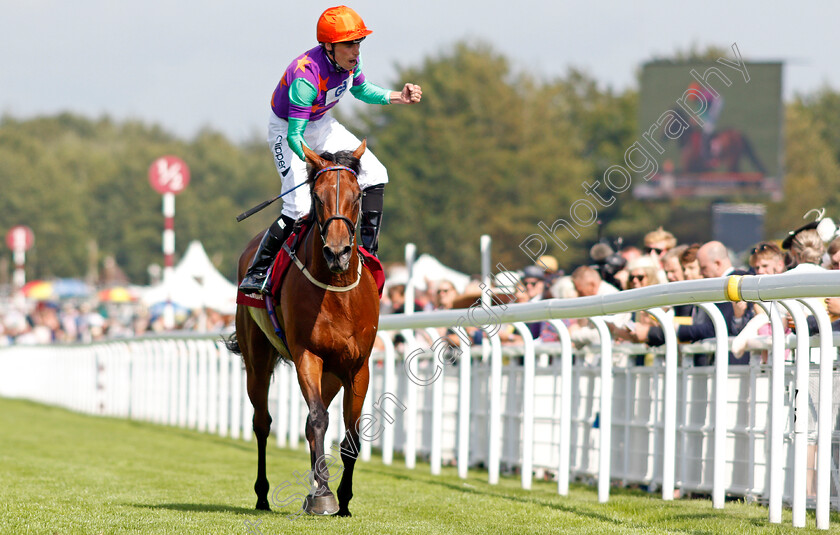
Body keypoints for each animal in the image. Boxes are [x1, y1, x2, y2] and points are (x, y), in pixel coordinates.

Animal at [226, 140, 378, 516]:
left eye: (357, 196)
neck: (337, 291)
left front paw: (343, 500)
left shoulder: (358, 366)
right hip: (258, 360)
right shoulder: (307, 355)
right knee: (263, 423)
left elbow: (350, 435)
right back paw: (263, 495)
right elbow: (319, 419)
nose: (337, 252)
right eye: (318, 197)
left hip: (332, 375)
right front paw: (322, 494)